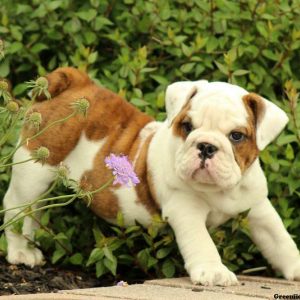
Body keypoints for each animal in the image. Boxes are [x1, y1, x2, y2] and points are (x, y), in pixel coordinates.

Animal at [2, 67, 300, 286]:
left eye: (237, 136)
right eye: (187, 126)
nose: (205, 146)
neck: (219, 191)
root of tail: (76, 81)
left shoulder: (258, 208)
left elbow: (280, 240)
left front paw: (295, 265)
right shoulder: (185, 210)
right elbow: (201, 242)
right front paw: (214, 271)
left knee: (34, 213)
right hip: (34, 170)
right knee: (16, 207)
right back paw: (21, 251)